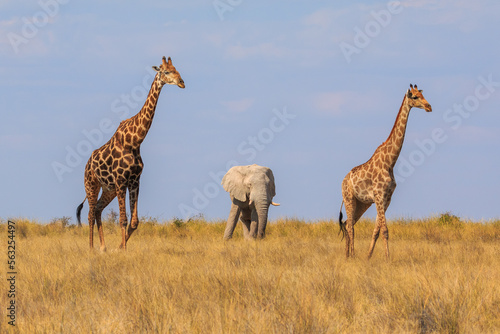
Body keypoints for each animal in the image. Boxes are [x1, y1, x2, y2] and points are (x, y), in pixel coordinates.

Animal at [77, 56, 187, 250]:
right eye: (167, 71)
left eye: (177, 69)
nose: (182, 82)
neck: (134, 141)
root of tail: (87, 163)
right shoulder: (122, 181)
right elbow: (123, 219)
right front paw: (123, 249)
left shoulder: (135, 181)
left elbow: (134, 222)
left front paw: (120, 247)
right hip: (91, 184)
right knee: (90, 213)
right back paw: (91, 248)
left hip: (109, 189)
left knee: (97, 209)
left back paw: (103, 247)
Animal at [338, 83, 432, 258]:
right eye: (415, 97)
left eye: (423, 95)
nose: (429, 106)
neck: (390, 162)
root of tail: (343, 180)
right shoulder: (379, 196)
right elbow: (385, 230)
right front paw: (388, 258)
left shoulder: (386, 198)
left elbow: (376, 230)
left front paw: (368, 257)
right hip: (348, 198)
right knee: (350, 226)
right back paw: (352, 255)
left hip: (362, 203)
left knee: (348, 223)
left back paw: (347, 255)